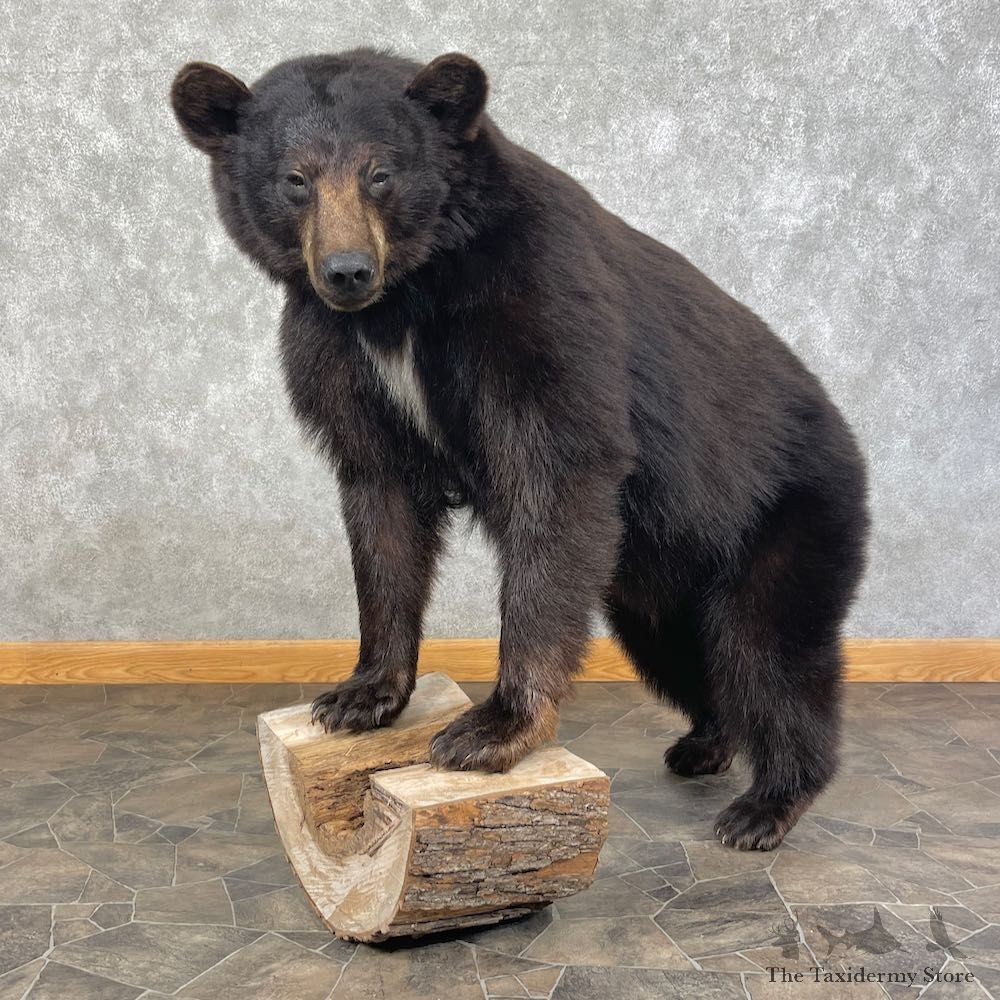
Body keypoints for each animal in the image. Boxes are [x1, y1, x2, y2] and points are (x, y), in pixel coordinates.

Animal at [170, 49, 869, 850]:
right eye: (295, 178)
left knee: (769, 655)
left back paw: (765, 805)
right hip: (661, 578)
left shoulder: (533, 308)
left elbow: (555, 476)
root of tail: (847, 438)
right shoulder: (339, 359)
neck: (405, 302)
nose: (347, 270)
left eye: (381, 172)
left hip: (787, 519)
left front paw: (492, 728)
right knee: (687, 654)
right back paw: (704, 742)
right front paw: (359, 694)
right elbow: (381, 514)